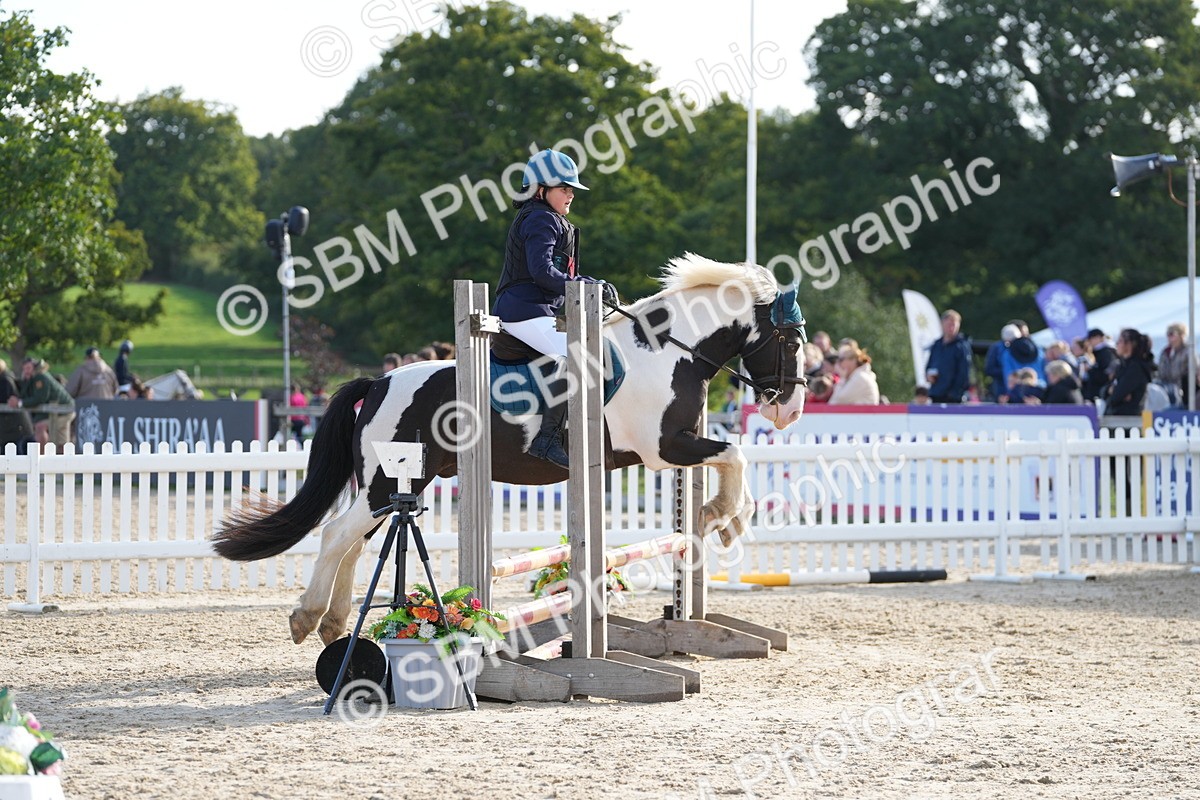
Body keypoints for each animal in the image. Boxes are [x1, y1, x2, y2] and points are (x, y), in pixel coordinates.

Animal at [212, 254, 808, 645]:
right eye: (791, 340)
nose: (790, 411)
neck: (664, 351)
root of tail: (379, 381)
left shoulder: (673, 449)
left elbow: (734, 456)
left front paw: (721, 519)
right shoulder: (664, 448)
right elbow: (735, 454)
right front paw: (722, 516)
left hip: (397, 483)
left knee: (354, 543)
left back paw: (334, 627)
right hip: (389, 482)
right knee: (338, 535)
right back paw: (308, 618)